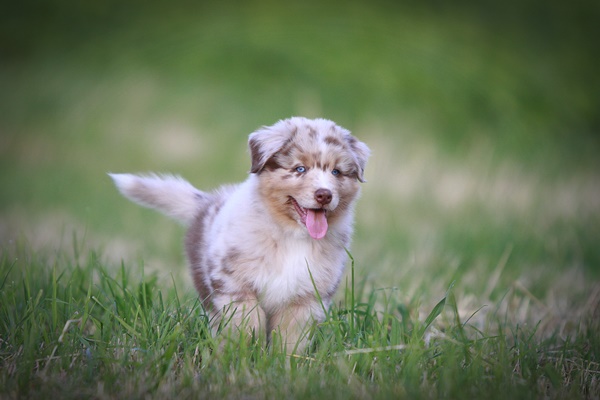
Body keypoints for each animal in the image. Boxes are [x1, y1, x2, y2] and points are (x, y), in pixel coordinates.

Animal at [110, 117, 368, 352]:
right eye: (299, 169)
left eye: (336, 172)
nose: (324, 195)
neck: (291, 236)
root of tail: (208, 202)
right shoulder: (233, 285)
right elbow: (246, 323)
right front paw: (241, 356)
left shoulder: (307, 298)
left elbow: (290, 340)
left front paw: (286, 364)